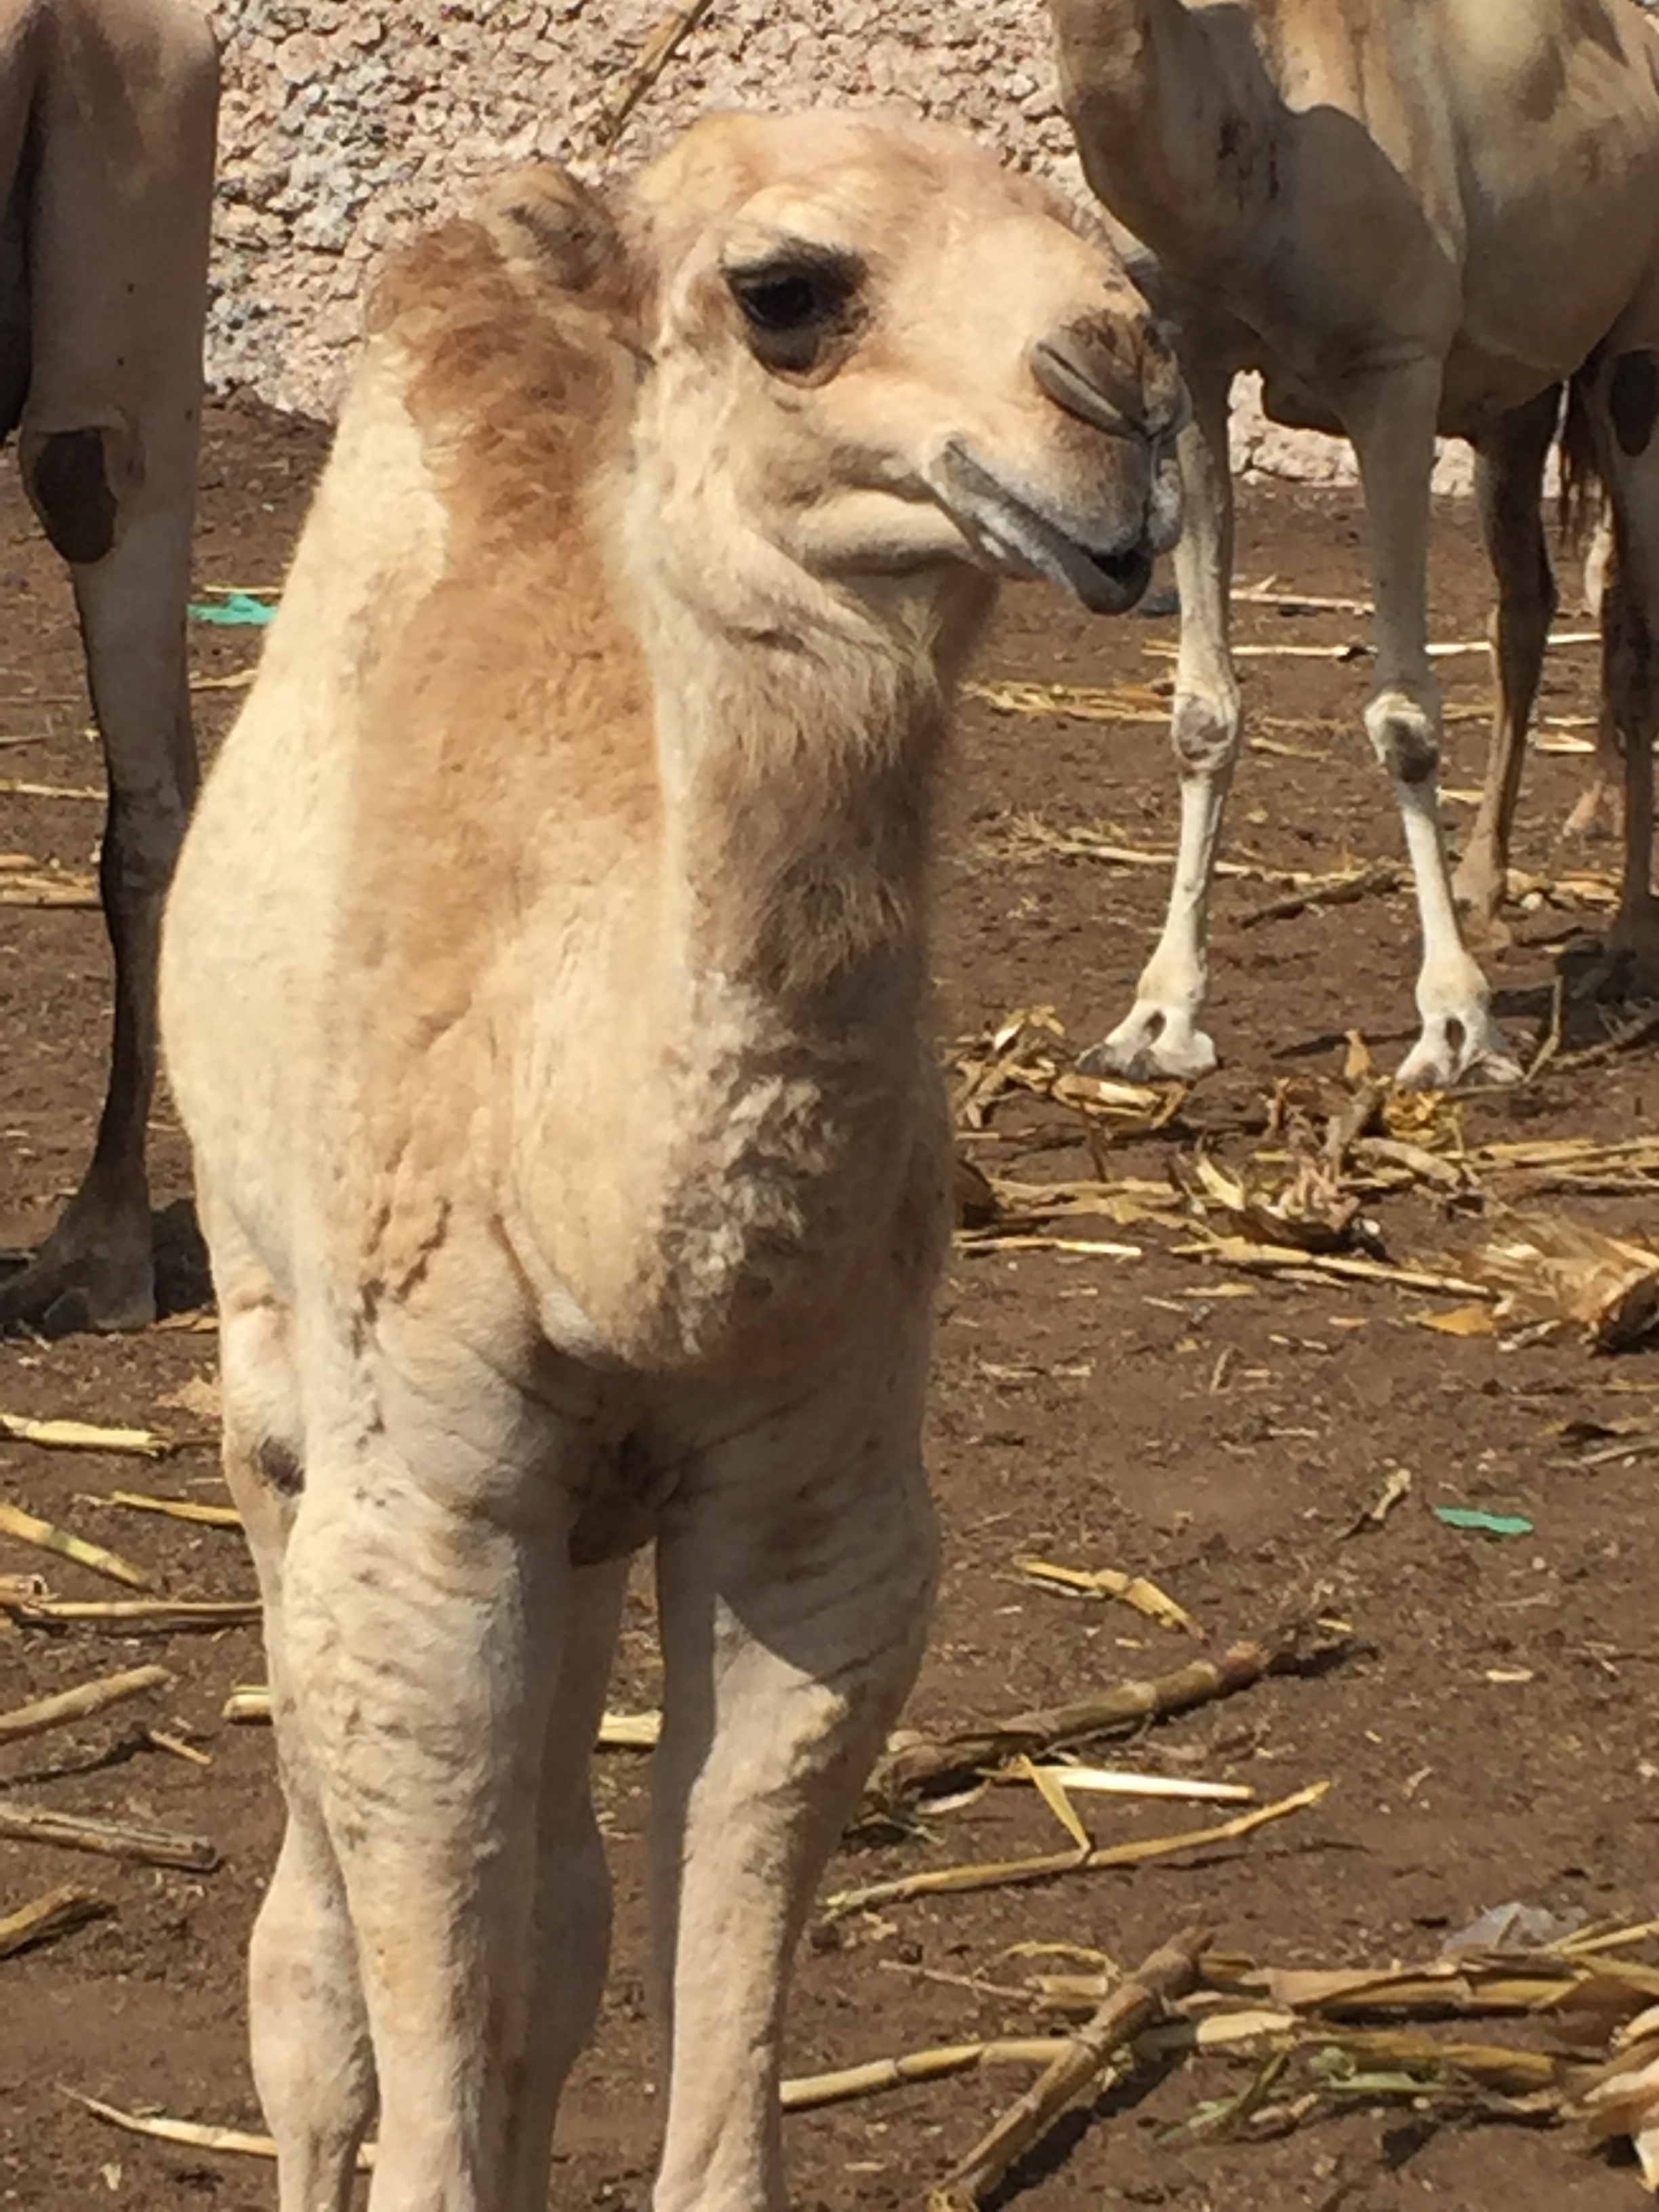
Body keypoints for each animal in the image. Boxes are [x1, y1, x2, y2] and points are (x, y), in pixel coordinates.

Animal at [158, 112, 1182, 2212]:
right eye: (785, 290)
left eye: (1126, 265)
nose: (1119, 405)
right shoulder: (420, 1508)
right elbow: (409, 1968)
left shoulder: (818, 1499)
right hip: (268, 1349)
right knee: (312, 1962)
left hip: (581, 1511)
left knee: (548, 1919)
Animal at [1049, 0, 1659, 1087]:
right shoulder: (1193, 358)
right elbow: (1202, 712)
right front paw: (1157, 1020)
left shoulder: (1395, 369)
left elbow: (1406, 717)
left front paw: (1455, 1025)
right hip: (1522, 402)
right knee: (1530, 602)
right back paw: (1485, 889)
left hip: (1635, 355)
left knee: (1638, 614)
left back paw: (1631, 942)